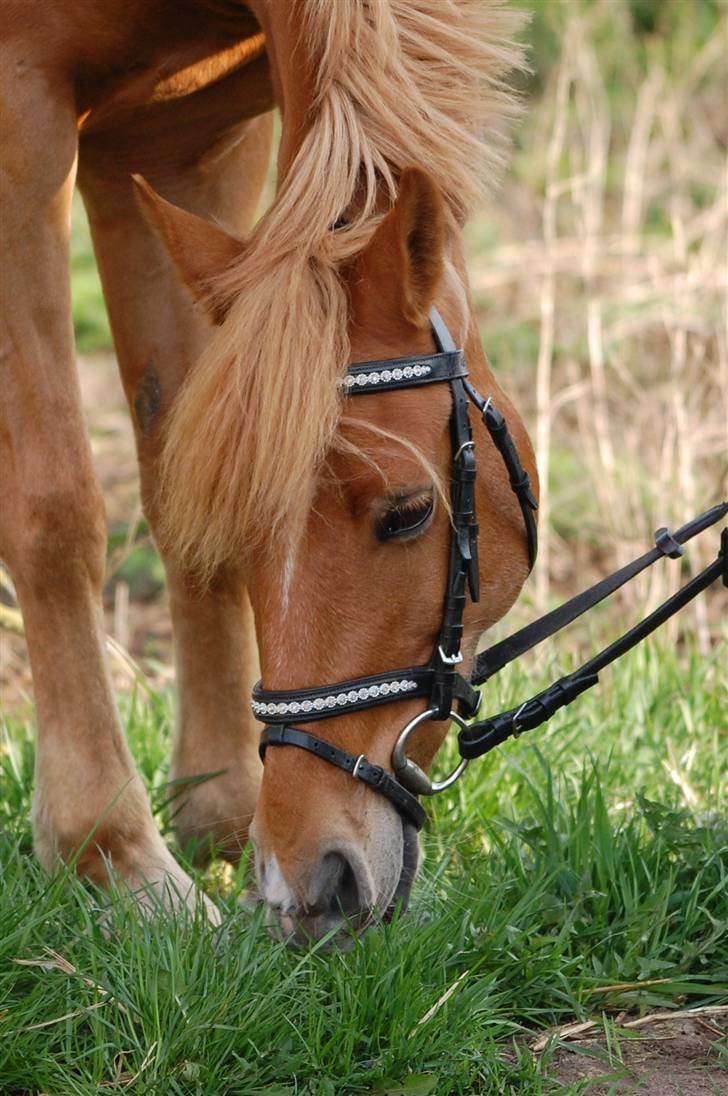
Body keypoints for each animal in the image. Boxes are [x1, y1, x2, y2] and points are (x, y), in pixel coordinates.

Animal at [0, 0, 537, 942]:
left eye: (405, 512)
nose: (311, 884)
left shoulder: (185, 134)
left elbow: (173, 467)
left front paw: (217, 813)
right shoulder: (19, 113)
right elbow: (52, 506)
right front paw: (112, 853)